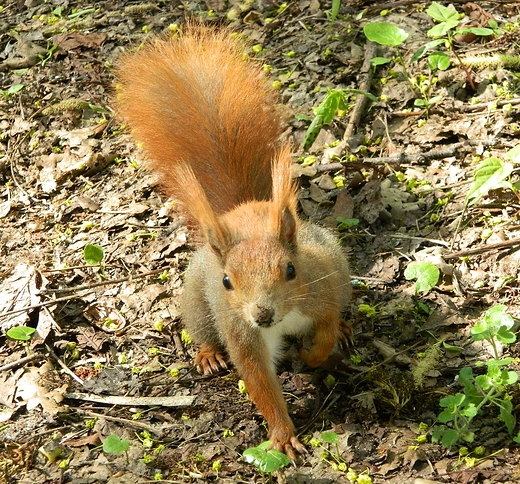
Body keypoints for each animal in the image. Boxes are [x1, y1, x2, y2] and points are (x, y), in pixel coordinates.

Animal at [114, 23, 350, 462]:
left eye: (291, 271)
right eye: (227, 281)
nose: (262, 313)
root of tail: (239, 210)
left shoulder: (322, 292)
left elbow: (325, 331)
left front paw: (314, 353)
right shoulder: (242, 333)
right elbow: (259, 381)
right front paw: (282, 436)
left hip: (339, 269)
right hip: (195, 299)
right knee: (201, 328)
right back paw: (208, 355)